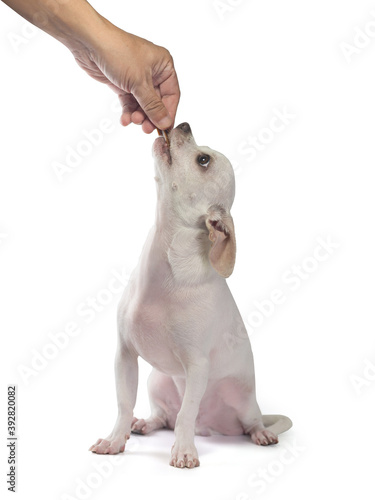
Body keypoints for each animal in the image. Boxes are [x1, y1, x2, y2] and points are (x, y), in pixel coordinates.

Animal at [89, 123, 292, 466]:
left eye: (203, 160)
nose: (182, 124)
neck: (163, 271)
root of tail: (209, 429)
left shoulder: (197, 367)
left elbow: (186, 412)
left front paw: (183, 451)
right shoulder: (125, 356)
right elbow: (123, 404)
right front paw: (115, 440)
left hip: (242, 398)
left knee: (241, 421)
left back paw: (260, 434)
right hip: (156, 381)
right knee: (163, 417)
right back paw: (143, 424)